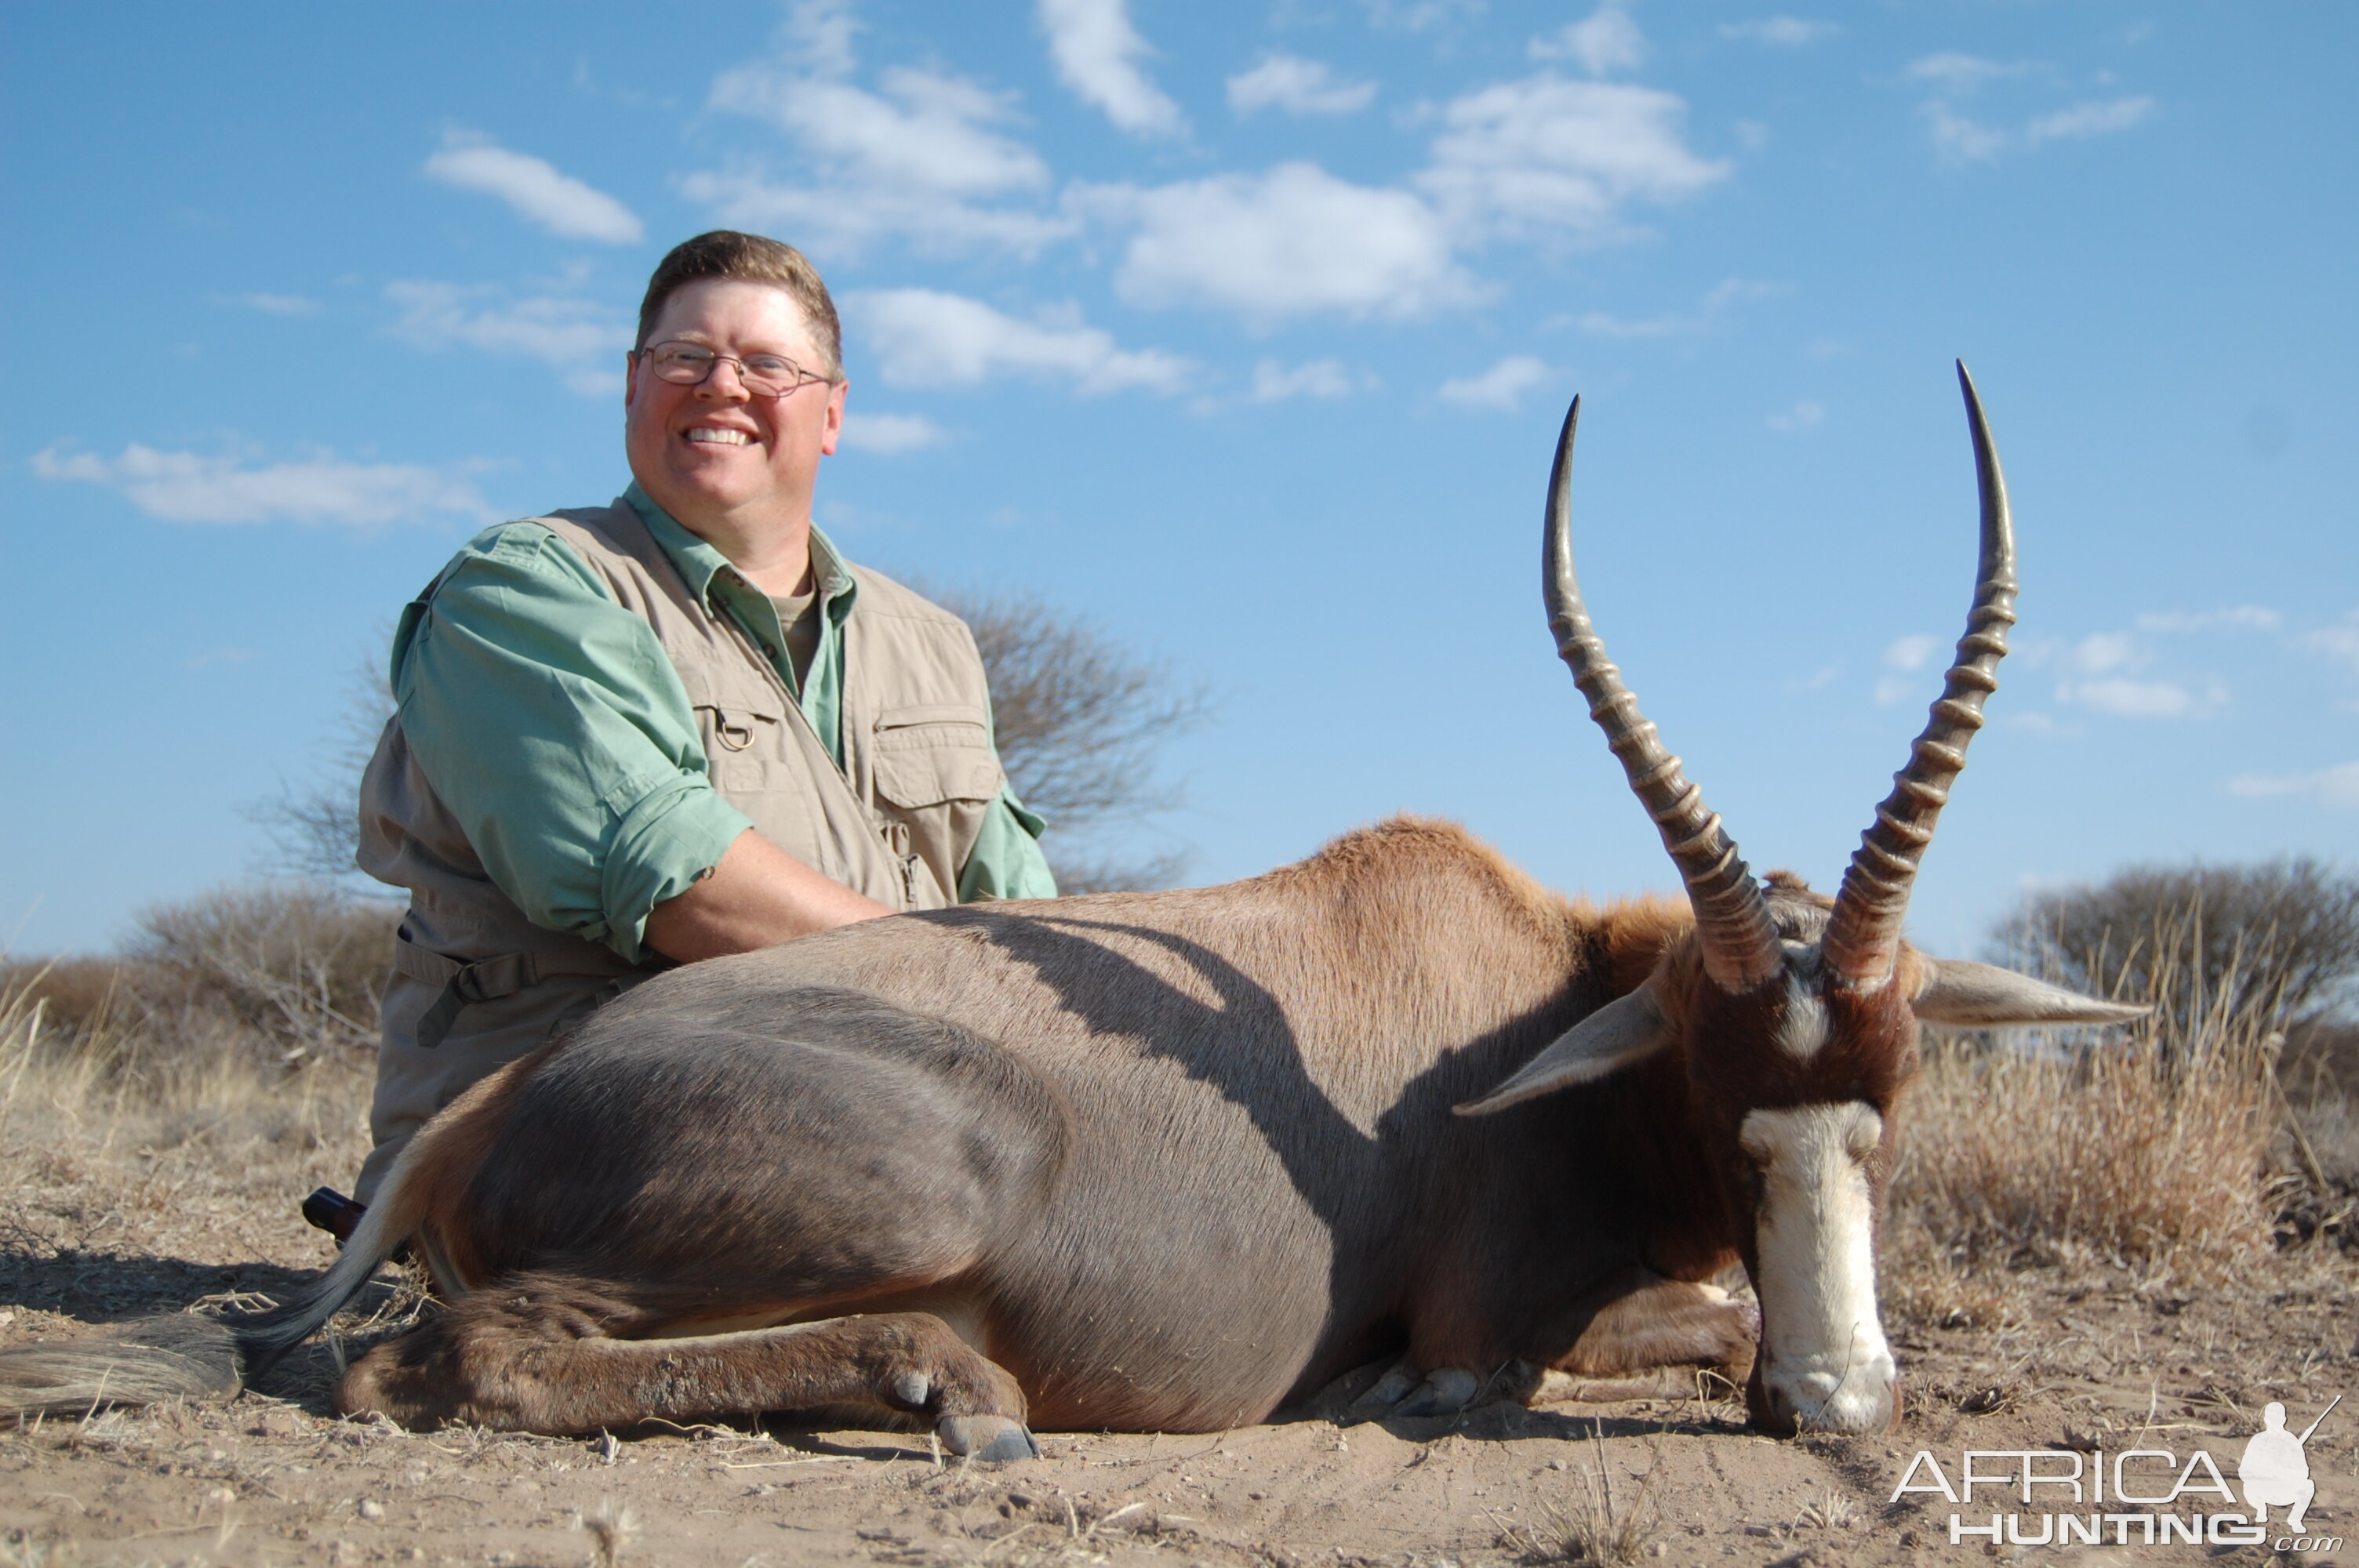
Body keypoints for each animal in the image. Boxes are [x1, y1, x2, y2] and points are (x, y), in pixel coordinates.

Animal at [0, 368, 2142, 1452]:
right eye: (1713, 1080)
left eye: (1891, 1091)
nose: (1844, 1401)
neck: (1534, 1004)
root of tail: (489, 1104)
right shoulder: (1484, 1324)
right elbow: (1672, 1322)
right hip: (911, 1185)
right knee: (449, 1359)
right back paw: (950, 1389)